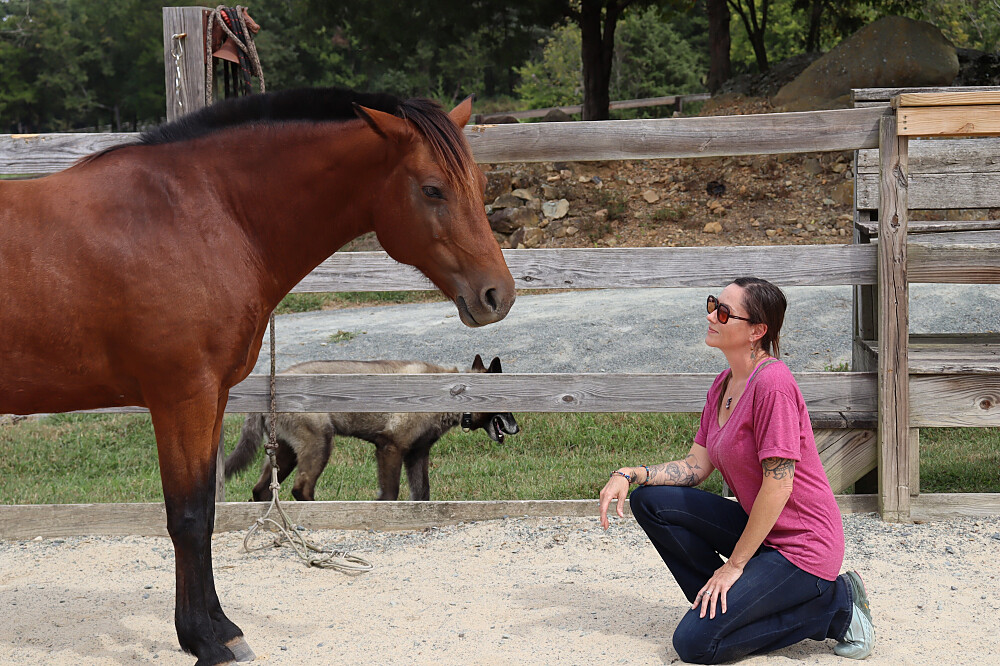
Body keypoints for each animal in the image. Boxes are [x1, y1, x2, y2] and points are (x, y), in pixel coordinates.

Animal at [225, 354, 519, 502]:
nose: (517, 428)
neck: (449, 393)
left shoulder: (417, 455)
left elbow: (421, 494)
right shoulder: (390, 448)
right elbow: (390, 494)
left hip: (287, 452)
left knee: (261, 491)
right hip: (320, 445)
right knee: (301, 489)